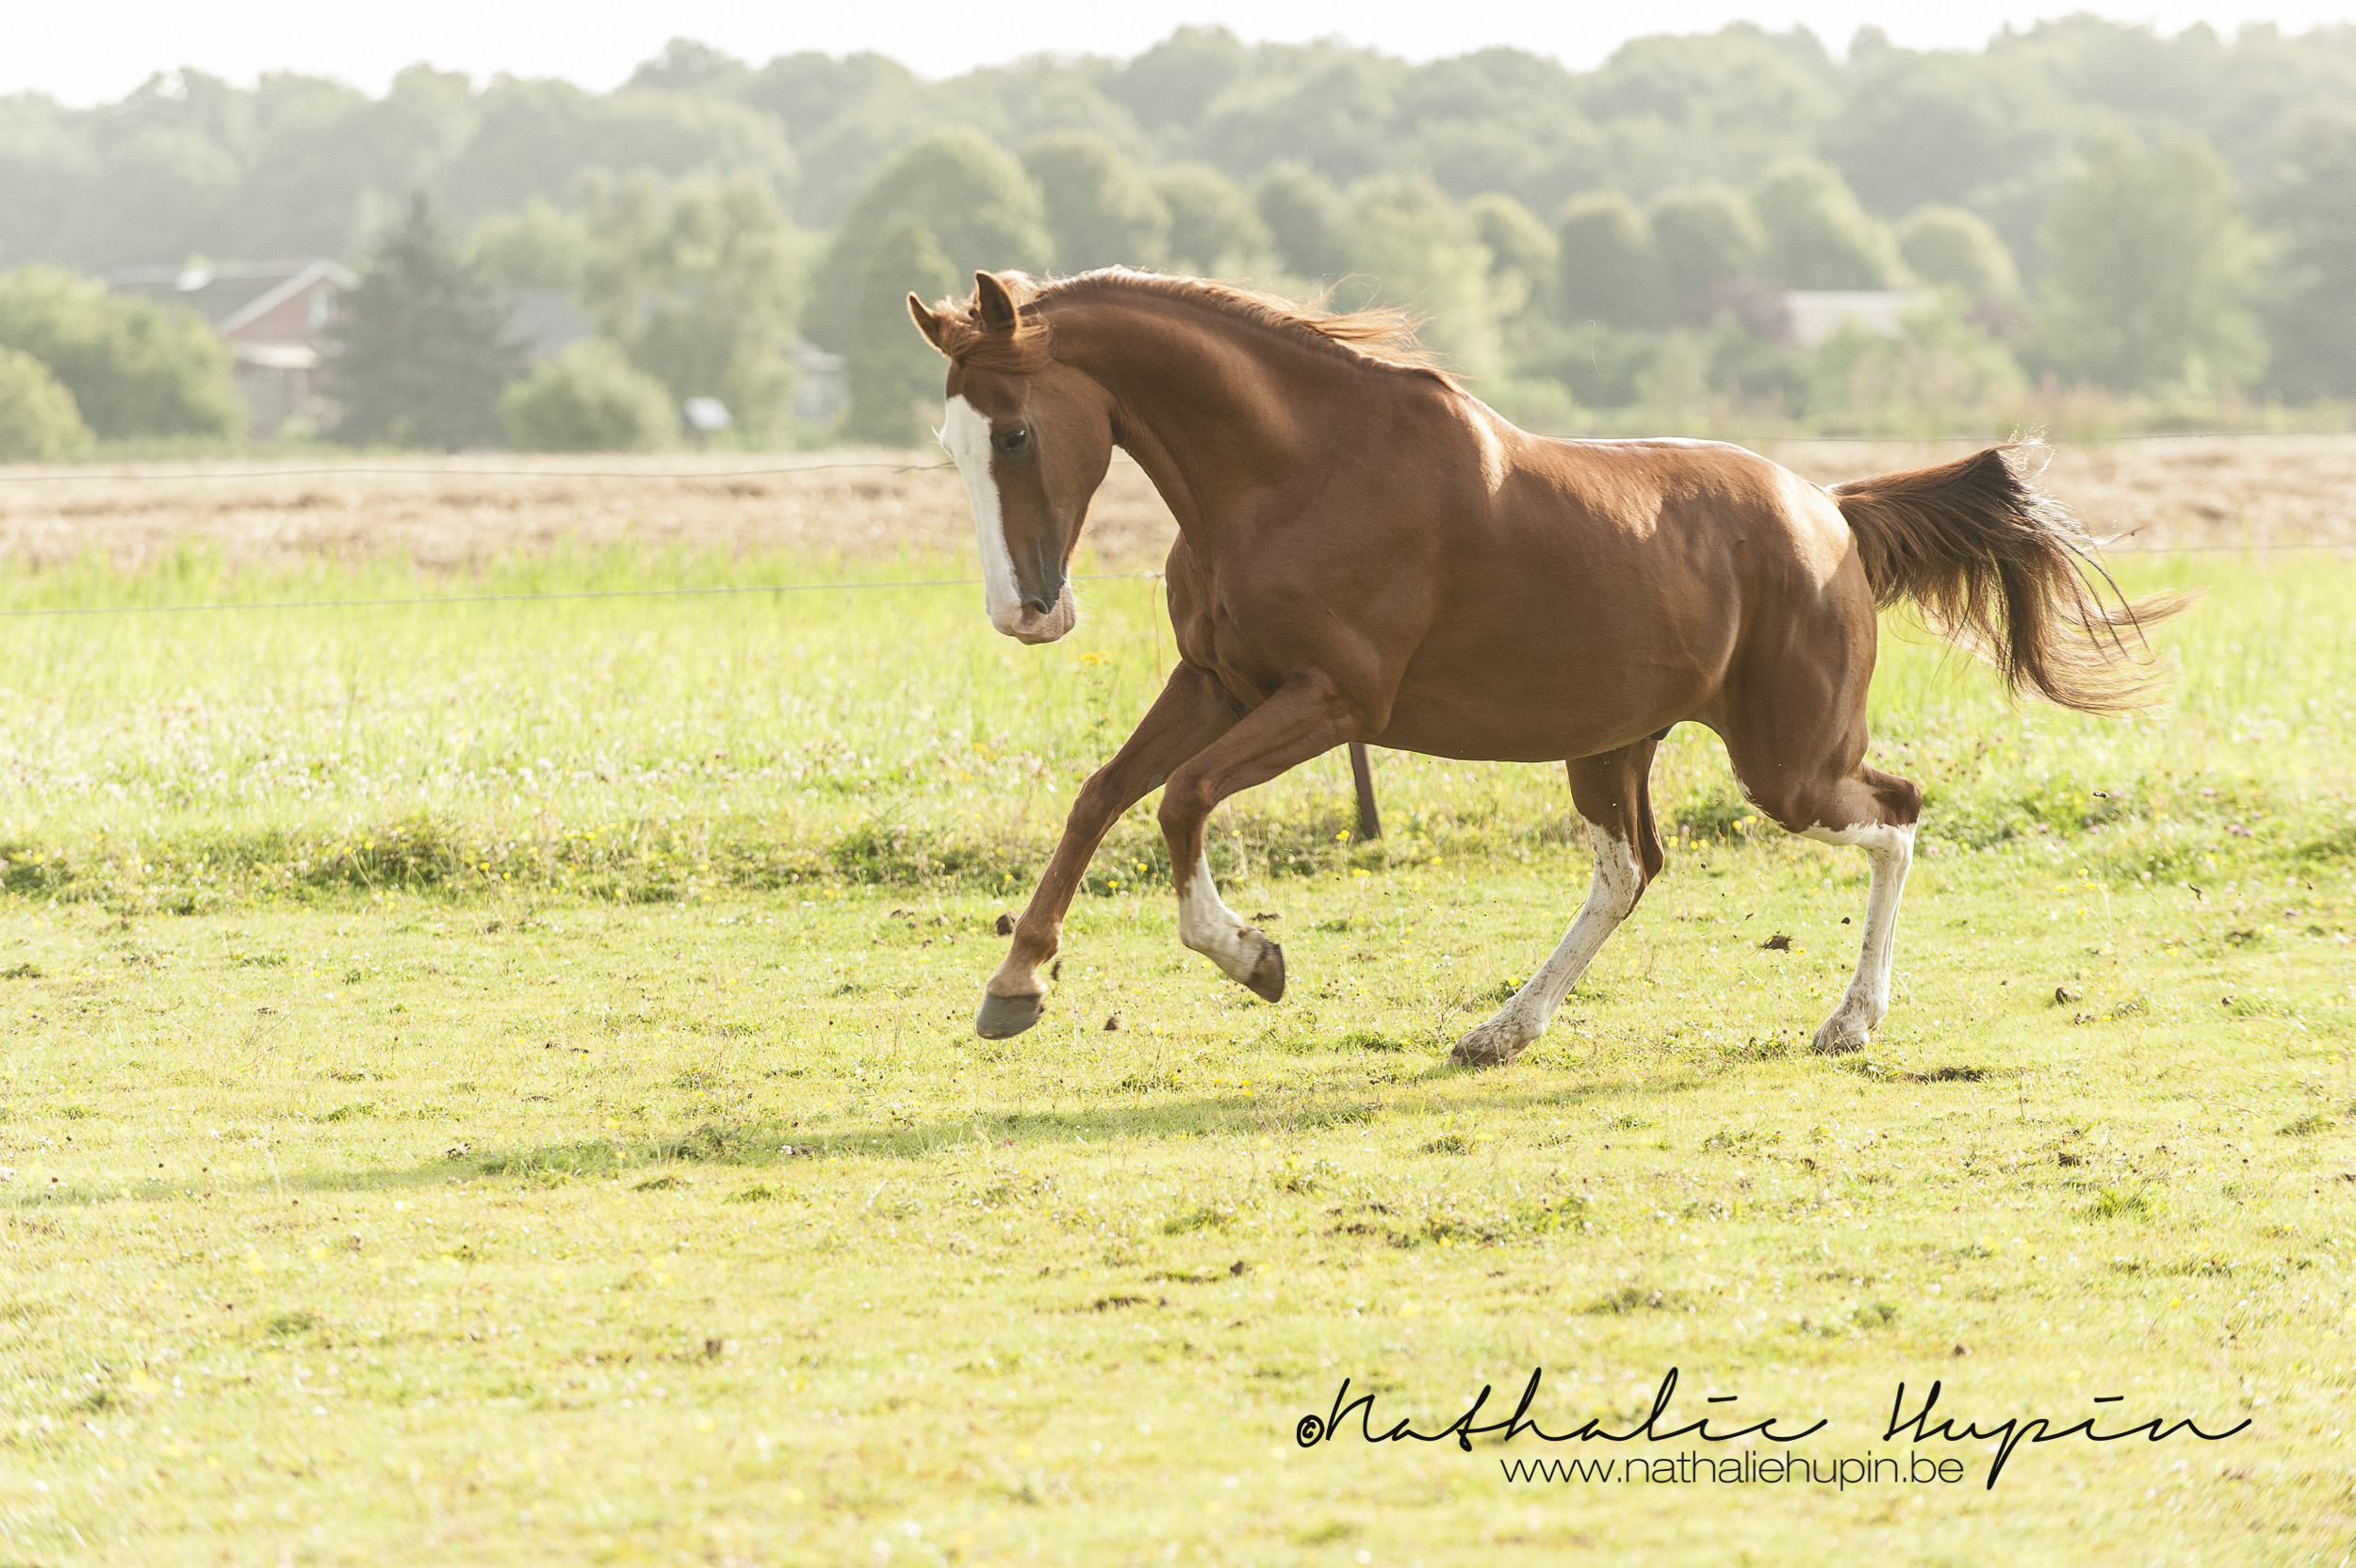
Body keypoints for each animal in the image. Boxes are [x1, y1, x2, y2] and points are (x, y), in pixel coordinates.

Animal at [905, 268, 2186, 1064]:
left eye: (1015, 430)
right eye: (950, 441)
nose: (1027, 613)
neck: (1292, 470)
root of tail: (1830, 512)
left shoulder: (1329, 699)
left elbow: (1179, 799)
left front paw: (1253, 956)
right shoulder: (1215, 682)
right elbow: (1101, 796)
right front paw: (1014, 986)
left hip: (1789, 763)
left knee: (1899, 813)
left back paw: (1849, 1021)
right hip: (1612, 742)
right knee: (1629, 869)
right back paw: (1502, 1030)